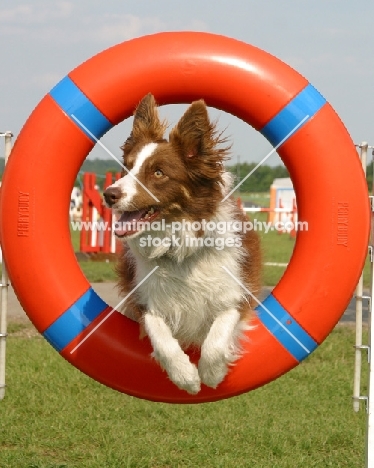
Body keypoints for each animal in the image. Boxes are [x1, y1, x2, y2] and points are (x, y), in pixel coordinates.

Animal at [102, 93, 260, 394]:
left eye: (158, 173)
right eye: (127, 166)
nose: (108, 194)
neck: (177, 246)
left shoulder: (237, 294)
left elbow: (218, 335)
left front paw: (212, 373)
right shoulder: (144, 299)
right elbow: (160, 336)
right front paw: (185, 376)